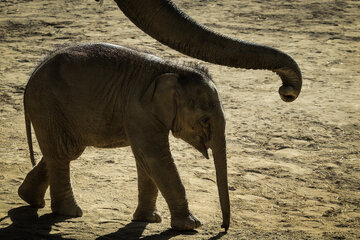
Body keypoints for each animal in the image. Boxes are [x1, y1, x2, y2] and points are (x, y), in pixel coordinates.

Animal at [18, 42, 229, 231]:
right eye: (205, 120)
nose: (223, 228)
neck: (173, 68)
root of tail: (33, 74)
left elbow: (145, 160)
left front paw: (149, 219)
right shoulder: (140, 110)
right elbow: (155, 158)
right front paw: (191, 225)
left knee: (65, 151)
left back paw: (29, 198)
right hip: (47, 104)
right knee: (61, 153)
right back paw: (70, 212)